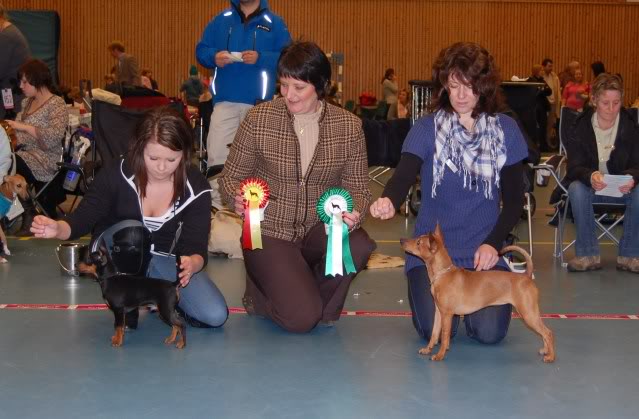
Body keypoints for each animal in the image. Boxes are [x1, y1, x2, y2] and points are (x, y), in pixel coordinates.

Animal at [400, 225, 556, 362]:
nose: (402, 240)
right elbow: (434, 333)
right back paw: (545, 350)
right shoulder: (439, 312)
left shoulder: (447, 314)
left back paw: (551, 357)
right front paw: (428, 349)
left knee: (548, 332)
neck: (443, 273)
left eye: (418, 242)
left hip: (528, 313)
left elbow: (444, 336)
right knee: (544, 332)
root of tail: (526, 276)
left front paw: (440, 355)